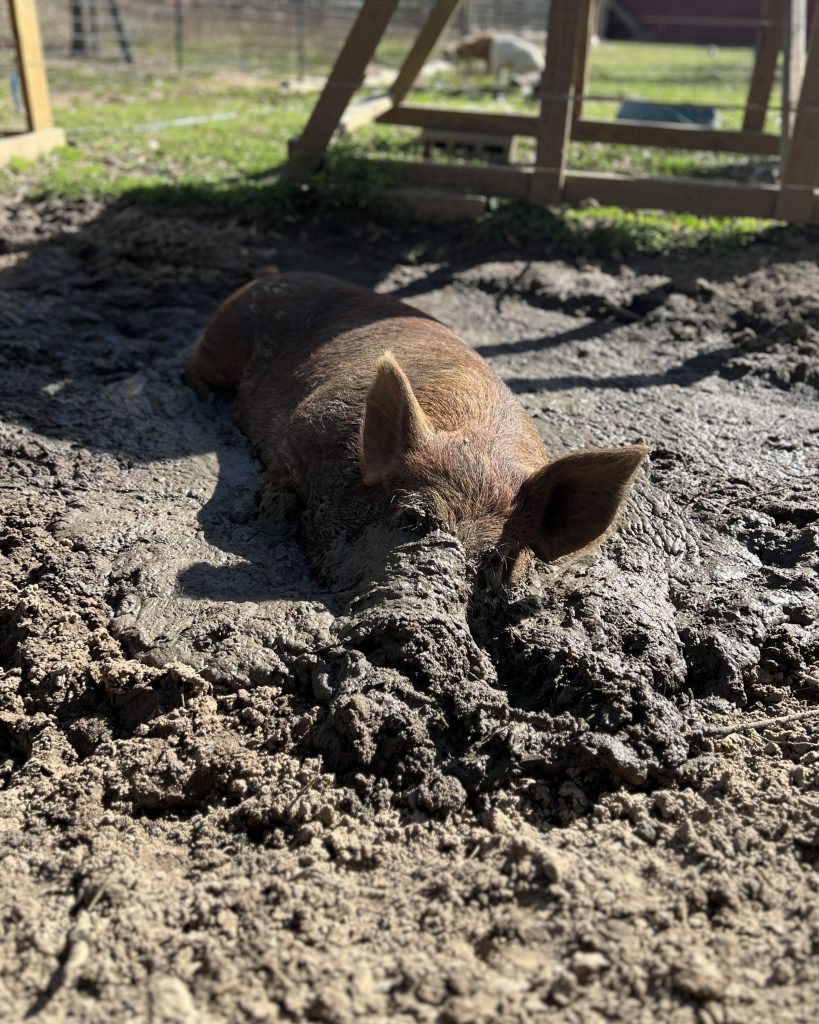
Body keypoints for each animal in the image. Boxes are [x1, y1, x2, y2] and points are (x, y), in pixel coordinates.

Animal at [185, 272, 648, 582]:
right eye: (409, 516)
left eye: (497, 561)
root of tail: (270, 276)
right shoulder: (303, 425)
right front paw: (270, 517)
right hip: (221, 342)